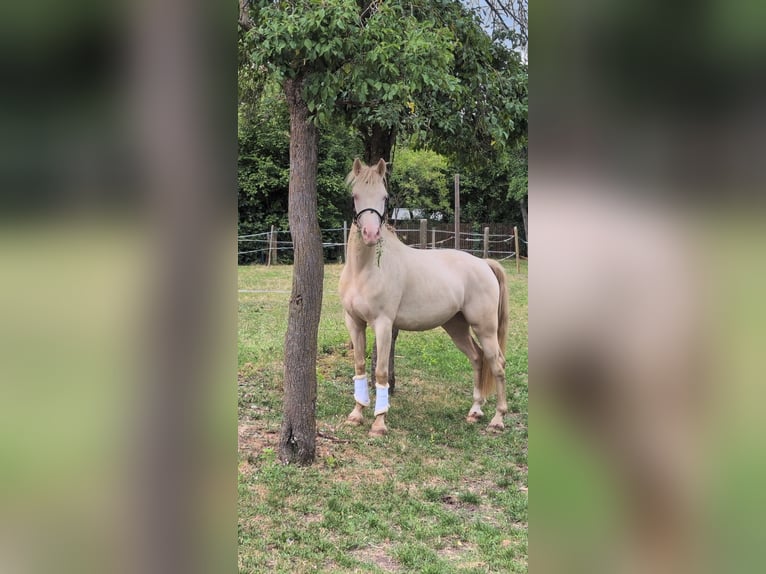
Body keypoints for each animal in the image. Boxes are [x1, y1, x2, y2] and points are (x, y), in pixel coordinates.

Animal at [339, 158, 510, 437]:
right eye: (355, 196)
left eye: (384, 197)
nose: (371, 234)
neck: (364, 270)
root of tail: (484, 263)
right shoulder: (354, 322)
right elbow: (360, 367)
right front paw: (356, 414)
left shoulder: (384, 325)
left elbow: (381, 372)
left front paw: (379, 423)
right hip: (456, 326)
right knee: (477, 358)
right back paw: (474, 411)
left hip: (485, 327)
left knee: (497, 364)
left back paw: (498, 419)